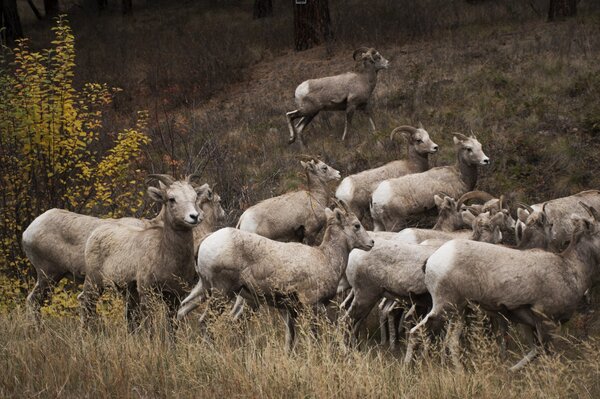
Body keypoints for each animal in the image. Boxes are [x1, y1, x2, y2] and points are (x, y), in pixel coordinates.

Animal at [176, 205, 372, 352]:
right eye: (356, 225)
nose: (371, 243)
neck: (326, 258)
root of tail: (206, 241)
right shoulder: (312, 306)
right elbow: (313, 337)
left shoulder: (289, 310)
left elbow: (290, 340)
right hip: (222, 292)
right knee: (204, 322)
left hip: (205, 288)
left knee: (182, 309)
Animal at [406, 205, 600, 370]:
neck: (570, 268)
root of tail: (432, 260)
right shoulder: (545, 321)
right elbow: (544, 354)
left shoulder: (526, 322)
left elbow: (533, 351)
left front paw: (510, 369)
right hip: (444, 308)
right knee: (416, 333)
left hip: (457, 313)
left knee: (451, 343)